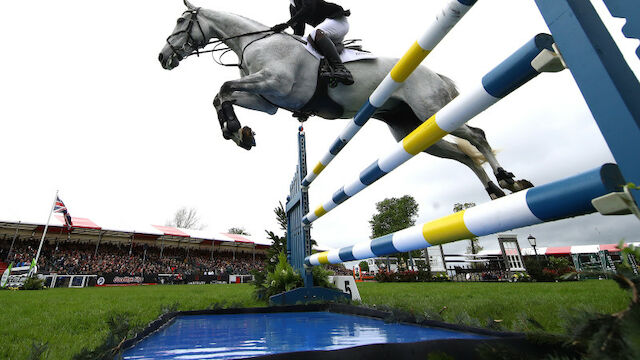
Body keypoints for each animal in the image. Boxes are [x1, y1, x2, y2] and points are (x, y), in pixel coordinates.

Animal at [158, 0, 532, 198]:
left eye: (180, 20)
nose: (162, 58)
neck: (256, 41)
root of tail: (433, 73)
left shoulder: (274, 82)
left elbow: (223, 87)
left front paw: (235, 130)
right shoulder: (267, 99)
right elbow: (221, 95)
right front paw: (240, 133)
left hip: (431, 108)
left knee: (477, 136)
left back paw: (507, 179)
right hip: (413, 129)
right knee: (464, 155)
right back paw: (494, 190)